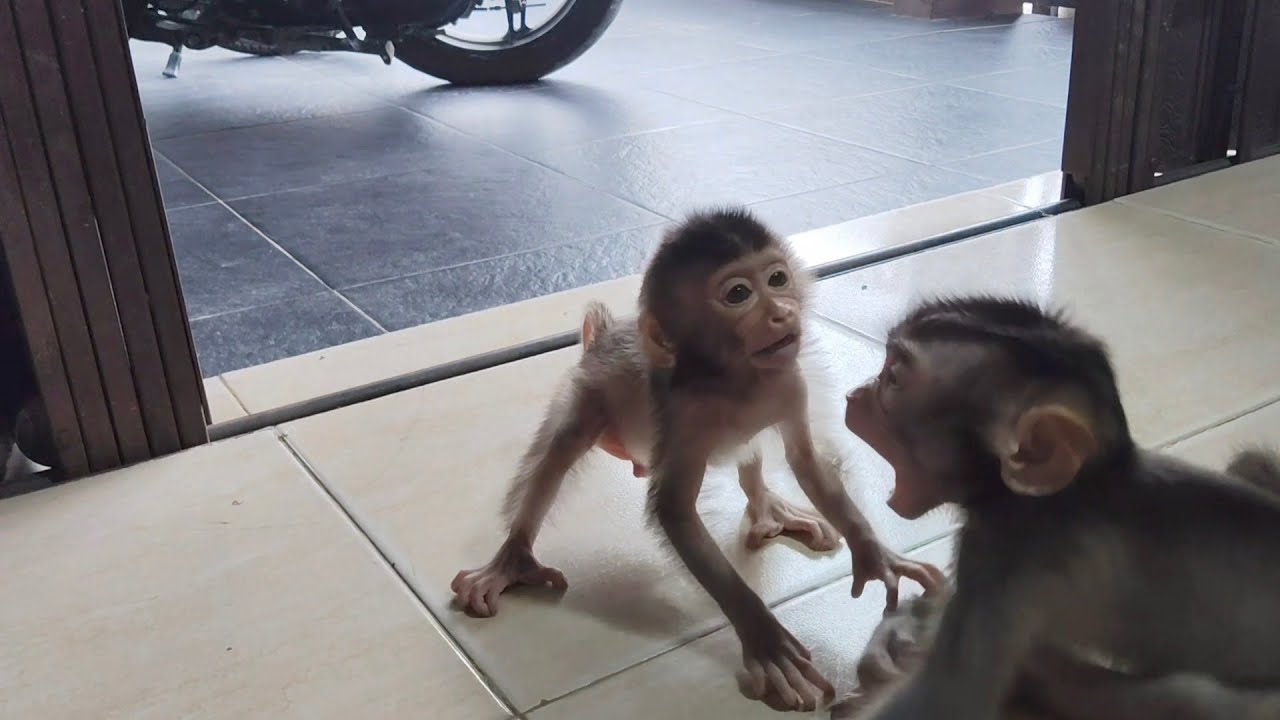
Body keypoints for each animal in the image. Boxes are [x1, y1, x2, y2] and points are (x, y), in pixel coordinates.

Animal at [451, 208, 944, 711]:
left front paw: (875, 553)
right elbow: (675, 511)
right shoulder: (688, 413)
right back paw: (512, 559)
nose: (783, 312)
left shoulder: (790, 383)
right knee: (563, 447)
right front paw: (765, 638)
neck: (735, 380)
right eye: (739, 294)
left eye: (778, 278)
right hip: (590, 390)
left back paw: (768, 508)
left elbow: (807, 462)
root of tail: (606, 334)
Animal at [833, 295, 1280, 720]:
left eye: (892, 379)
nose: (854, 395)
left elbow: (947, 701)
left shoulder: (1004, 553)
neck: (1080, 484)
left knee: (1186, 698)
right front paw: (902, 628)